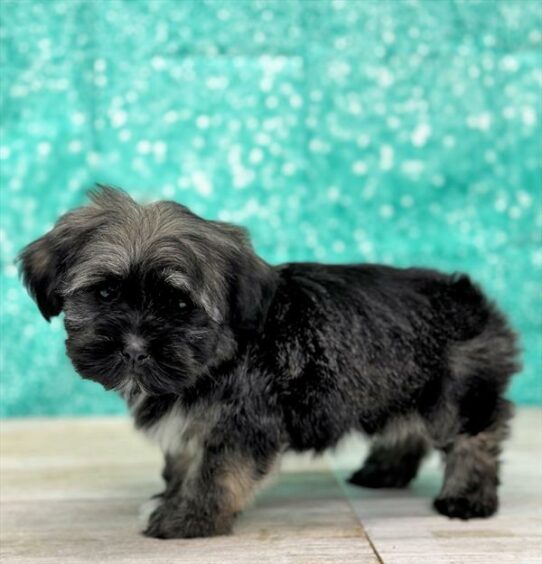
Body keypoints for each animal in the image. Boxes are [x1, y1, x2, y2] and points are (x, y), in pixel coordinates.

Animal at [19, 186, 524, 536]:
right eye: (105, 293)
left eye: (179, 306)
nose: (135, 348)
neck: (220, 354)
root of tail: (473, 297)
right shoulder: (197, 423)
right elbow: (184, 458)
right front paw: (171, 496)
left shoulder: (240, 424)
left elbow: (216, 471)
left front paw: (189, 518)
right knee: (407, 426)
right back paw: (386, 471)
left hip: (457, 390)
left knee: (475, 436)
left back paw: (467, 497)